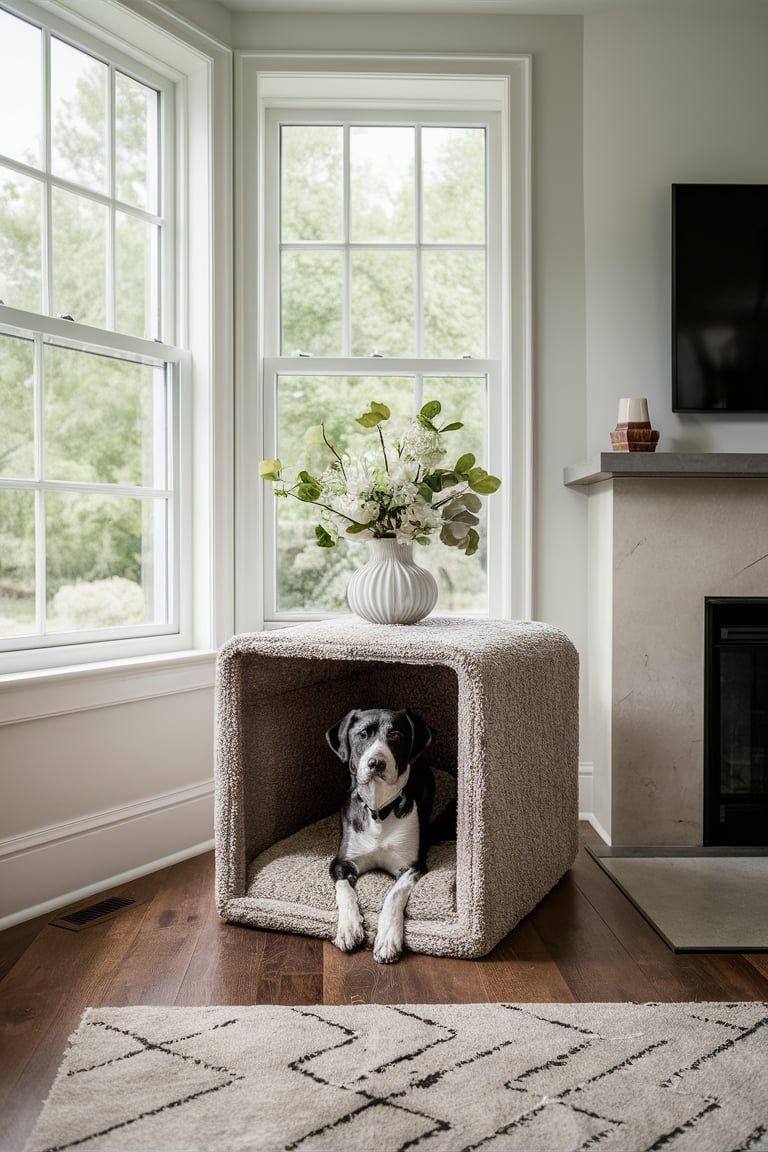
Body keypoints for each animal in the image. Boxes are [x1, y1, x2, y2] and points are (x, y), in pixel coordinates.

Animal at [324, 709, 432, 963]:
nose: (376, 763)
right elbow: (344, 890)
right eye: (363, 734)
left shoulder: (412, 865)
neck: (379, 810)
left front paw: (388, 939)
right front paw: (349, 927)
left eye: (395, 735)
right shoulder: (342, 861)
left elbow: (394, 894)